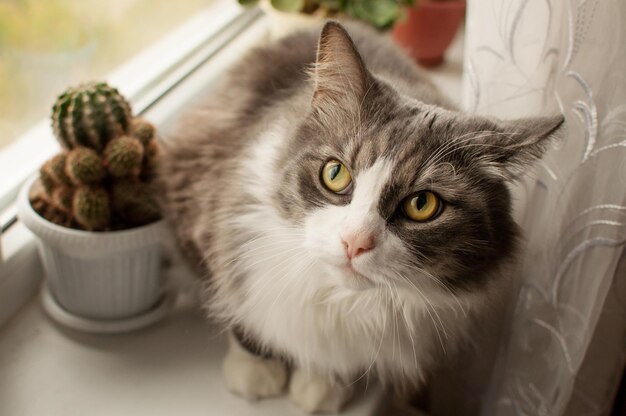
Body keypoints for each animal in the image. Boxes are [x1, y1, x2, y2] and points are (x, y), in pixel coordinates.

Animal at [158, 20, 564, 412]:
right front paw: (256, 371)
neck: (338, 298)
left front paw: (323, 385)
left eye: (422, 204)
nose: (355, 242)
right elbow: (241, 312)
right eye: (335, 174)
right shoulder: (197, 208)